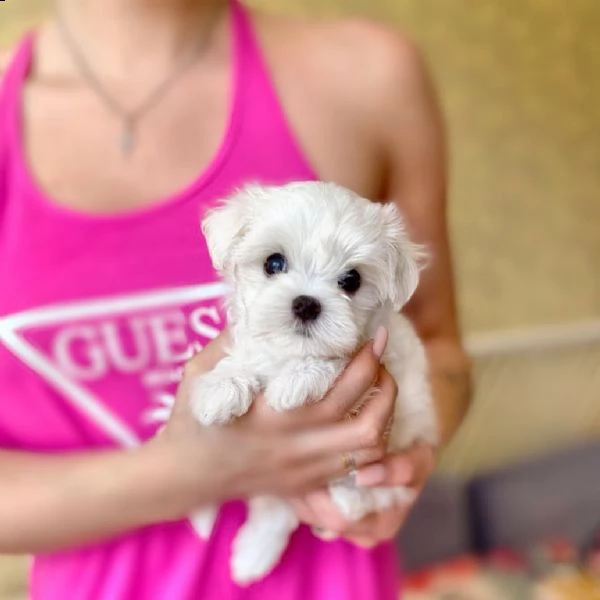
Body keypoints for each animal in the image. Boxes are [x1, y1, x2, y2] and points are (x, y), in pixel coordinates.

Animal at [190, 182, 438, 584]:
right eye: (274, 263)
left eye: (351, 280)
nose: (306, 303)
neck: (290, 352)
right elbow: (244, 358)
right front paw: (220, 389)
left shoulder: (382, 363)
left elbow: (337, 359)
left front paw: (297, 382)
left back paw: (350, 499)